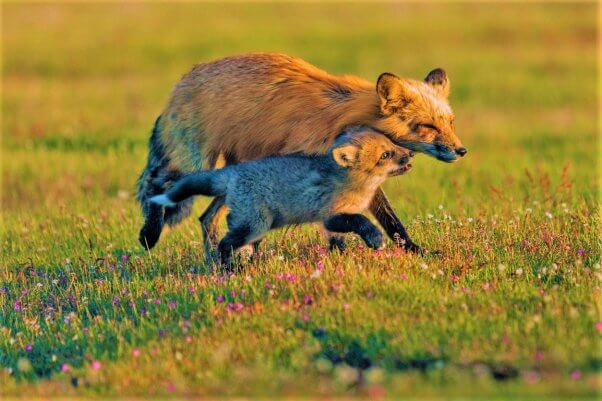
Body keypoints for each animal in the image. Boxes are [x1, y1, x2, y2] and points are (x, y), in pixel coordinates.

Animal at [136, 53, 464, 253]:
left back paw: (216, 258)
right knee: (158, 184)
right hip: (194, 162)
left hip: (231, 170)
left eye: (449, 122)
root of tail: (181, 81)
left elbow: (391, 220)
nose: (460, 151)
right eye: (427, 126)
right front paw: (339, 256)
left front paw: (414, 251)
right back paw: (150, 234)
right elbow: (338, 225)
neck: (351, 116)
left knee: (206, 218)